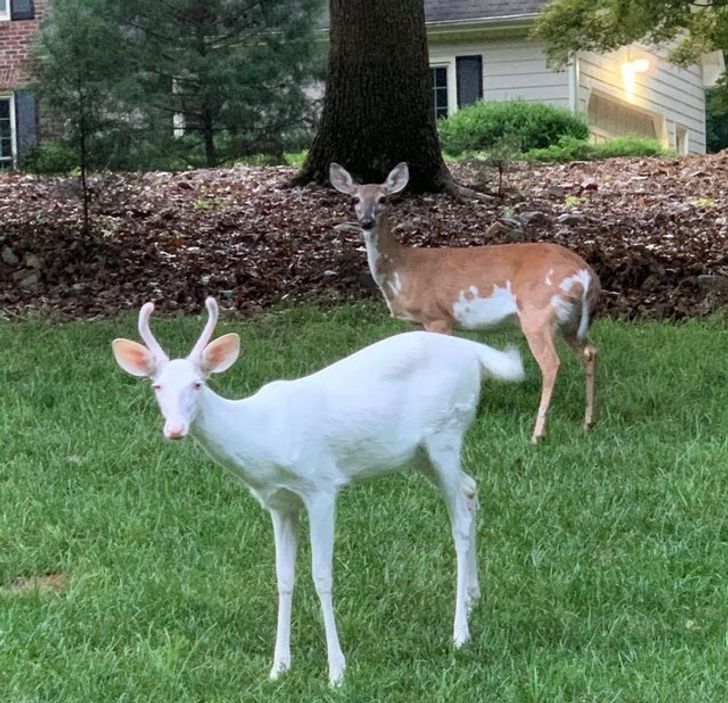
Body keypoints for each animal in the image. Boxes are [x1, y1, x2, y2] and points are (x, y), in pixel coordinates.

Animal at [111, 298, 524, 688]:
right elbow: (284, 577)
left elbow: (321, 575)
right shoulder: (279, 503)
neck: (262, 436)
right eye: (157, 386)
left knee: (459, 521)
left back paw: (459, 633)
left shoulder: (321, 486)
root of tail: (475, 353)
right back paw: (473, 599)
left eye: (198, 383)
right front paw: (278, 667)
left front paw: (337, 672)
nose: (175, 430)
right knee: (470, 487)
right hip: (419, 454)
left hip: (445, 433)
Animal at [332, 162, 600, 442]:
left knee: (551, 363)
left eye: (383, 199)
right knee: (590, 351)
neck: (402, 269)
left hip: (537, 312)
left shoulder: (436, 316)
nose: (366, 222)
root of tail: (587, 275)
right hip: (570, 320)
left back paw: (537, 435)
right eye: (354, 199)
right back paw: (587, 423)